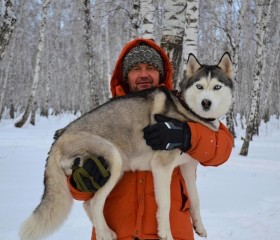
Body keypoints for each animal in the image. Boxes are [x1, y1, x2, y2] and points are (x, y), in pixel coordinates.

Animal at [19, 52, 233, 240]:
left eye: (217, 87)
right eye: (199, 86)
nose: (206, 103)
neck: (188, 113)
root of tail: (60, 137)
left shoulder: (187, 167)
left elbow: (195, 199)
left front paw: (199, 226)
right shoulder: (161, 167)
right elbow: (165, 204)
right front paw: (165, 234)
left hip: (116, 167)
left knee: (88, 204)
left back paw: (105, 231)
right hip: (113, 160)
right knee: (95, 202)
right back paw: (104, 234)